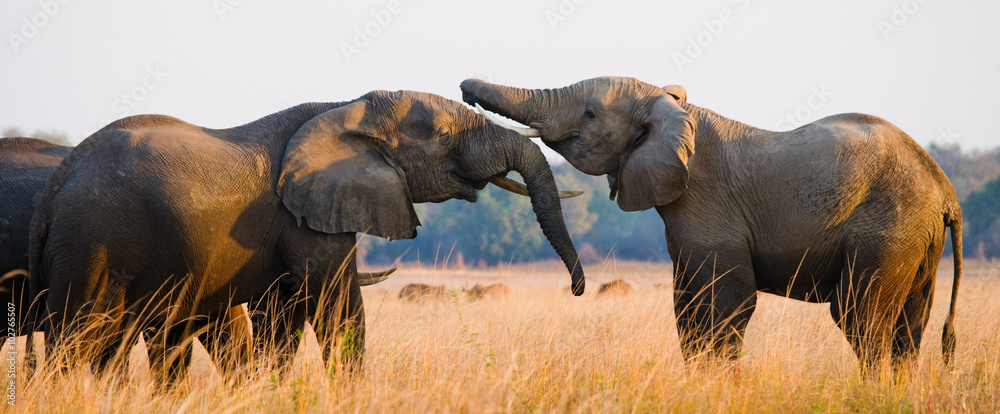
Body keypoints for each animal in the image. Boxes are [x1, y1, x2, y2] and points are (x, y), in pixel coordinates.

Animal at [30, 90, 586, 376]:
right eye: (445, 135)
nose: (578, 289)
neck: (348, 106)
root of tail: (55, 189)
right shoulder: (308, 216)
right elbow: (336, 307)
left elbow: (285, 315)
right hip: (92, 241)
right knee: (79, 333)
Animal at [461, 76, 963, 370]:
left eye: (589, 113)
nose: (464, 88)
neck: (670, 109)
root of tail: (945, 190)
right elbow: (687, 308)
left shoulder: (709, 204)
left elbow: (726, 303)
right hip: (915, 240)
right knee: (909, 327)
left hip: (887, 229)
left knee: (861, 318)